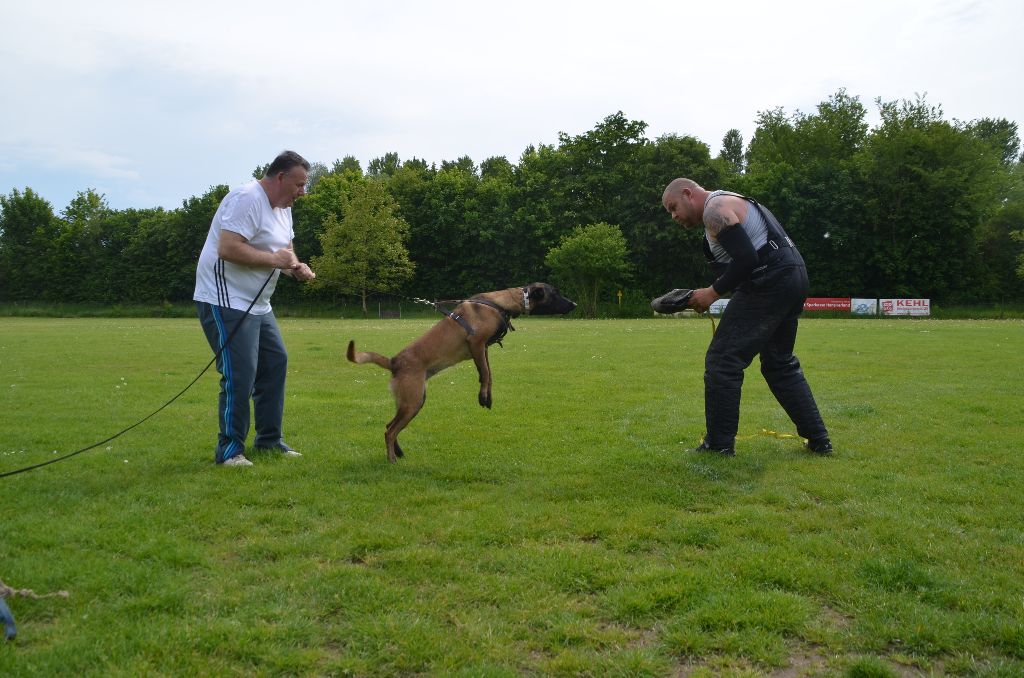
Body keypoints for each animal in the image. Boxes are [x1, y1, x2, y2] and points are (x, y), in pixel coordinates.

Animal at [348, 280, 577, 462]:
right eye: (555, 293)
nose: (574, 303)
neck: (501, 302)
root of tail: (394, 362)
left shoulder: (483, 349)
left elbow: (488, 374)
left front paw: (487, 395)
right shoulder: (476, 343)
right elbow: (485, 373)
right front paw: (483, 396)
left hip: (413, 402)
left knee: (390, 426)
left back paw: (399, 452)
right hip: (412, 402)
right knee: (390, 431)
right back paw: (392, 458)